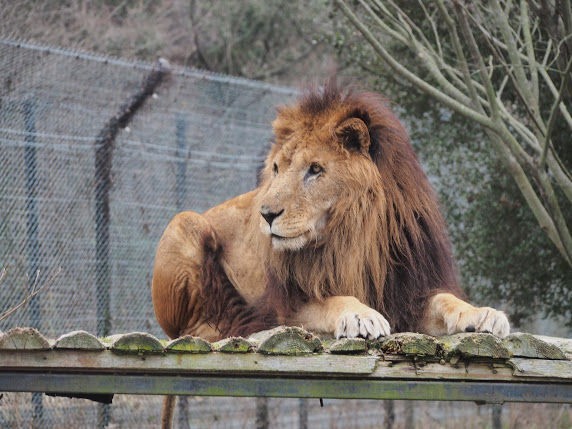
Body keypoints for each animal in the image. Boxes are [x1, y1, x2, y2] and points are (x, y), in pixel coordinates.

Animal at [151, 80, 510, 424]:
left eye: (315, 170)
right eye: (277, 169)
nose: (265, 214)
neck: (354, 236)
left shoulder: (407, 293)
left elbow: (447, 301)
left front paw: (484, 315)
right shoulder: (288, 307)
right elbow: (333, 300)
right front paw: (362, 315)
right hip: (185, 222)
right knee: (190, 329)